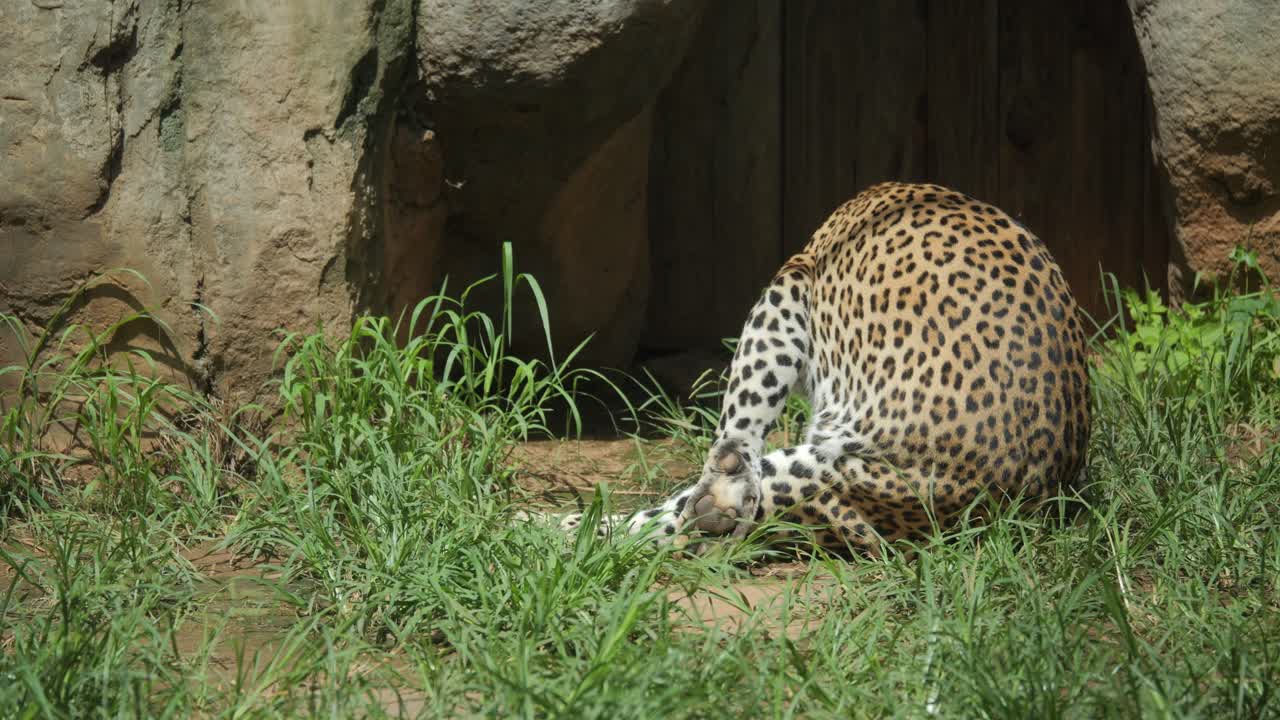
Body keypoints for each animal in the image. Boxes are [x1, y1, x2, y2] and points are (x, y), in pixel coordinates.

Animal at [563, 181, 1091, 557]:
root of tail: (1009, 500)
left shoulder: (793, 281)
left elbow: (744, 405)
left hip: (817, 466)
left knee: (674, 510)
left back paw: (564, 529)